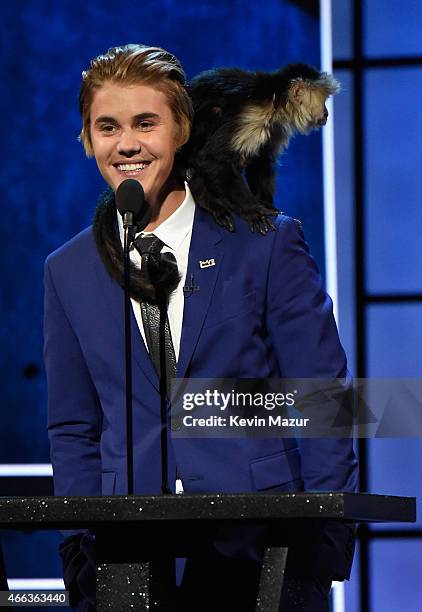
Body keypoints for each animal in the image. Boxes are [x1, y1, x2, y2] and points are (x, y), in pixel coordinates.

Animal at [183, 63, 342, 233]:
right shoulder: (252, 117)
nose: (326, 113)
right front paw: (252, 209)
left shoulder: (276, 126)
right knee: (214, 113)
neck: (274, 101)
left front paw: (266, 204)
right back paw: (206, 199)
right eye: (323, 99)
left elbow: (261, 160)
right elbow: (213, 159)